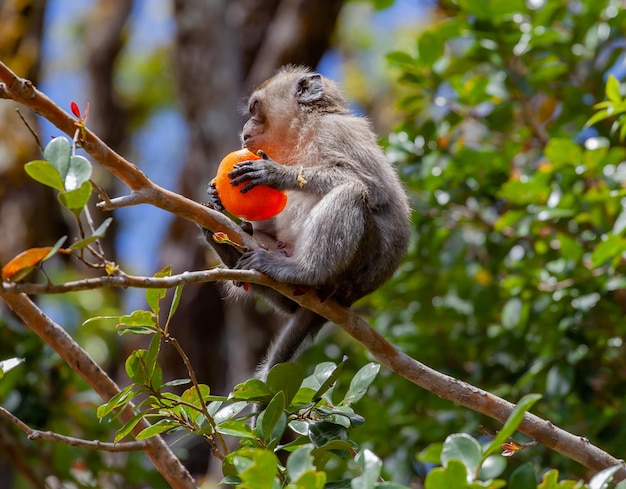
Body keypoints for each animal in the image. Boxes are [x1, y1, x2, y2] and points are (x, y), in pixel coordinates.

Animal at [204, 65, 410, 380]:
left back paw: (304, 271)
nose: (245, 131)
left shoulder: (334, 133)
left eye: (254, 109)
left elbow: (371, 187)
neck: (305, 129)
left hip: (359, 265)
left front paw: (277, 173)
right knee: (285, 297)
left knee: (353, 192)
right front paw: (216, 199)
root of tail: (355, 296)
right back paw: (230, 249)